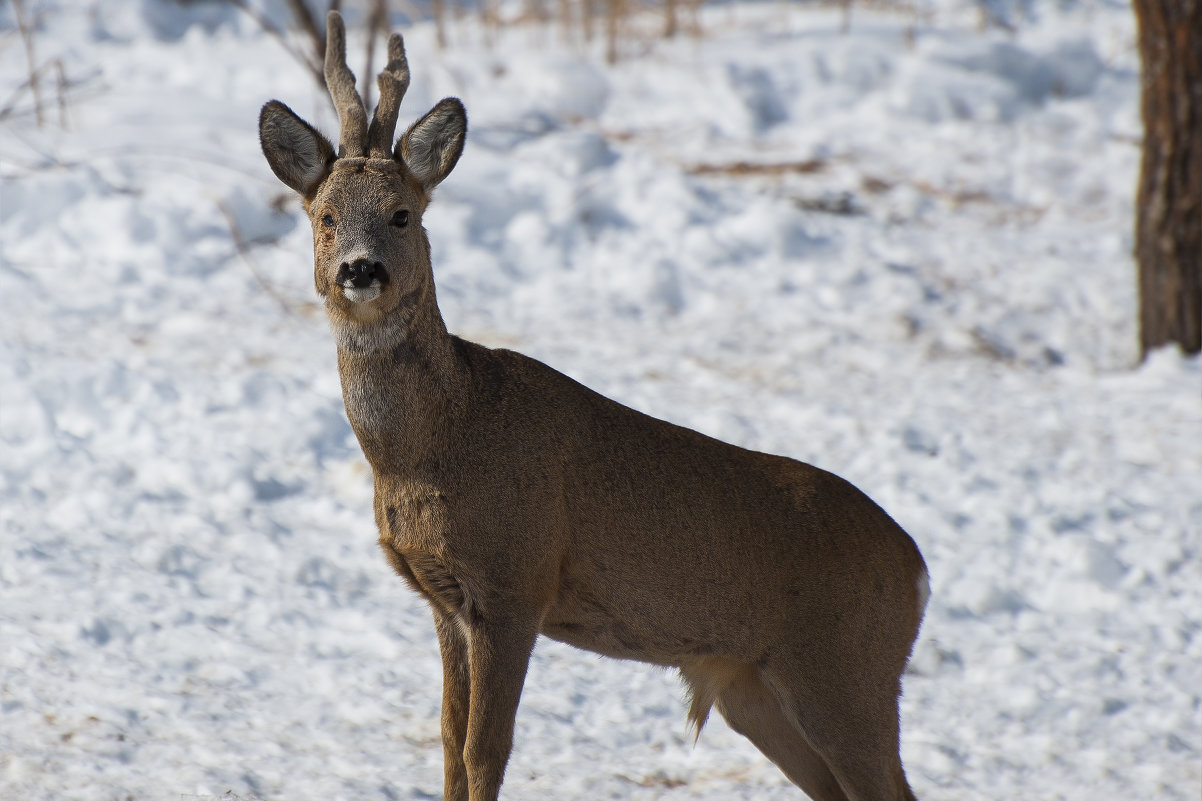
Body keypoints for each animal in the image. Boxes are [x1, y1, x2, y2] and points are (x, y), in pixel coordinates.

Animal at [260, 9, 927, 793]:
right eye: (325, 216)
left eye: (401, 214)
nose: (359, 270)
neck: (435, 443)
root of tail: (917, 570)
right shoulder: (444, 598)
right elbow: (448, 740)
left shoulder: (515, 582)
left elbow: (486, 749)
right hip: (754, 688)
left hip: (847, 675)